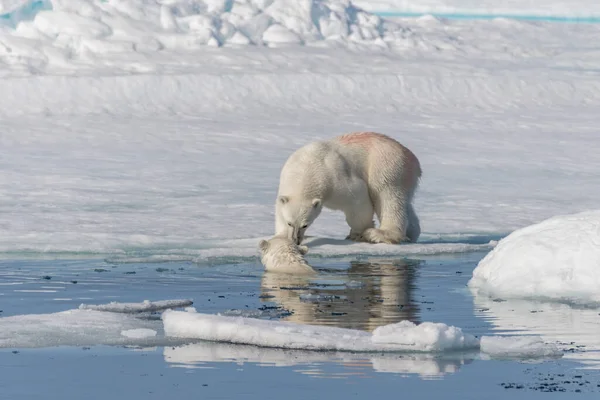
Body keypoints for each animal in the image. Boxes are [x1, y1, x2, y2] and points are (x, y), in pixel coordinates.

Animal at [276, 132, 422, 244]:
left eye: (305, 224)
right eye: (289, 223)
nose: (295, 240)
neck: (306, 168)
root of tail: (413, 159)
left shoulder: (334, 178)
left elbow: (357, 199)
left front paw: (358, 234)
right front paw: (282, 236)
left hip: (387, 165)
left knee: (387, 195)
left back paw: (379, 234)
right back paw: (411, 233)